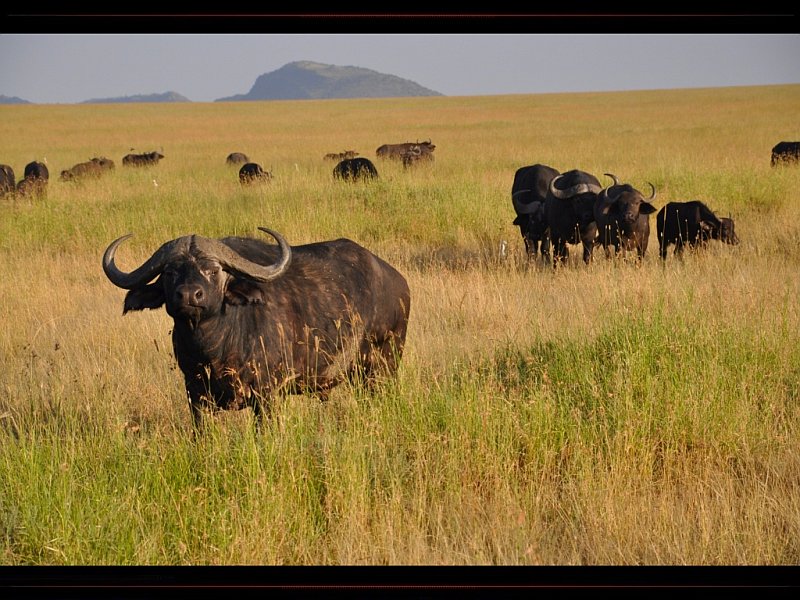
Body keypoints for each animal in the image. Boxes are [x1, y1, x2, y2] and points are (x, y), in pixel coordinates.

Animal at [102, 227, 411, 431]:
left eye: (214, 271)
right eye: (169, 272)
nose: (189, 295)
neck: (214, 350)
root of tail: (397, 282)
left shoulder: (266, 395)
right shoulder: (196, 394)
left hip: (383, 365)